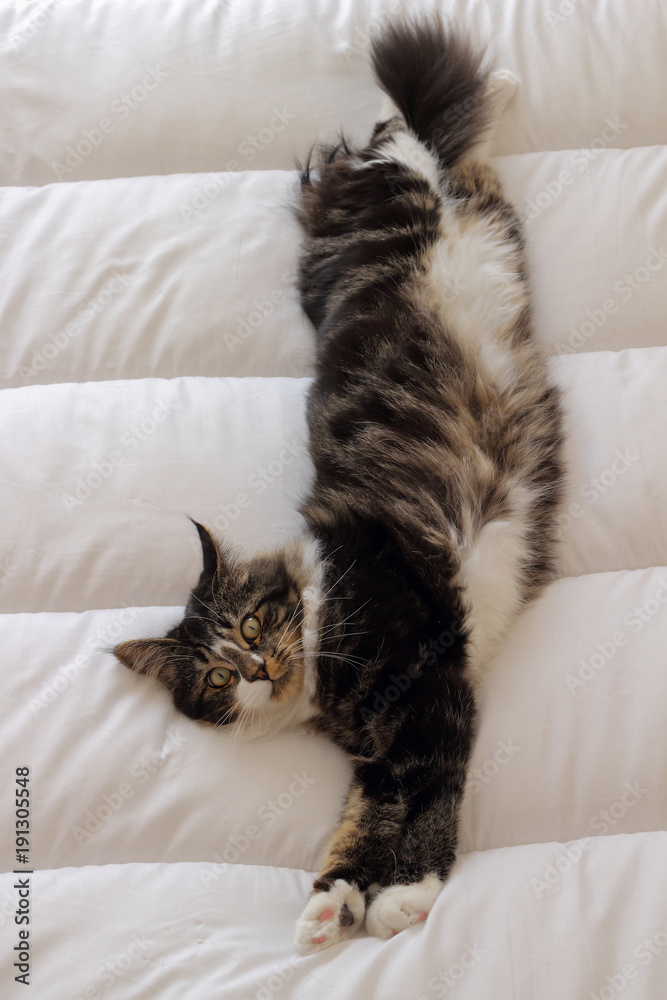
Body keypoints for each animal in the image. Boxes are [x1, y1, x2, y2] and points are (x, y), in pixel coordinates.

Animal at [115, 15, 564, 952]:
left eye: (252, 624)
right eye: (215, 679)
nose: (254, 668)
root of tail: (360, 180)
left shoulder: (429, 689)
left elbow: (428, 801)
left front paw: (402, 897)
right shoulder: (378, 741)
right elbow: (366, 815)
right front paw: (334, 902)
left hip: (411, 199)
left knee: (419, 124)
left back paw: (492, 84)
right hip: (473, 210)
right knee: (450, 144)